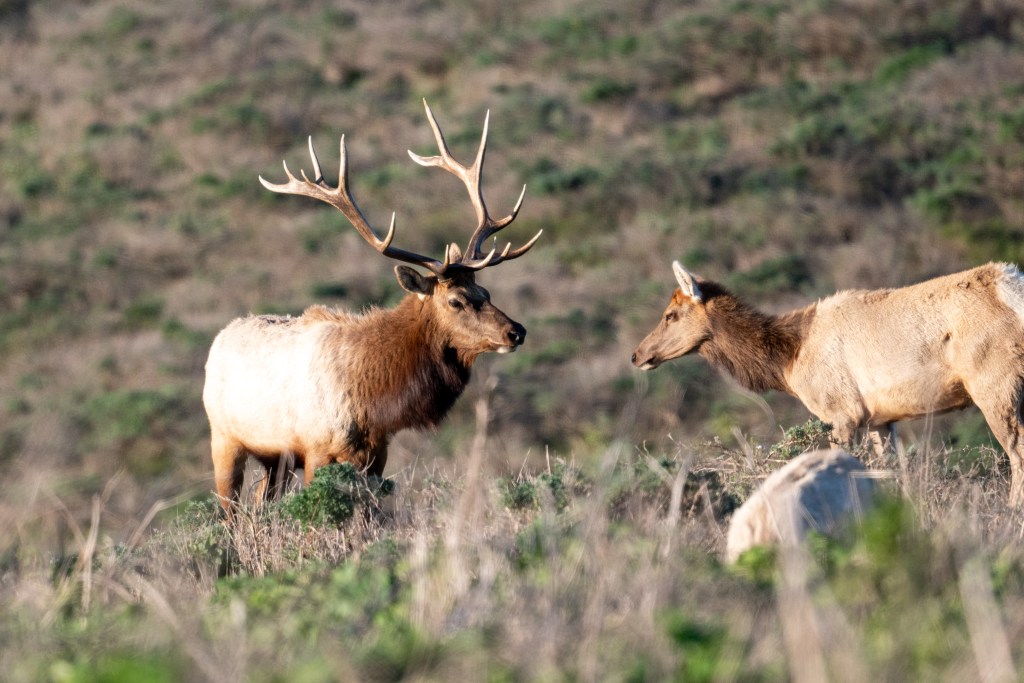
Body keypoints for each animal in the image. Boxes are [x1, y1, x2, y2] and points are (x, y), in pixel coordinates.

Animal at [203, 100, 541, 514]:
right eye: (456, 300)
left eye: (487, 292)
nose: (516, 331)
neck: (374, 403)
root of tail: (221, 337)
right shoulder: (317, 450)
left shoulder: (377, 454)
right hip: (225, 439)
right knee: (229, 509)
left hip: (273, 457)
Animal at [632, 260, 1024, 506]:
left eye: (670, 315)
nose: (637, 355)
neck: (789, 360)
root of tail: (1011, 286)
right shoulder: (880, 419)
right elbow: (891, 472)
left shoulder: (841, 412)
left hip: (996, 382)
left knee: (1016, 452)